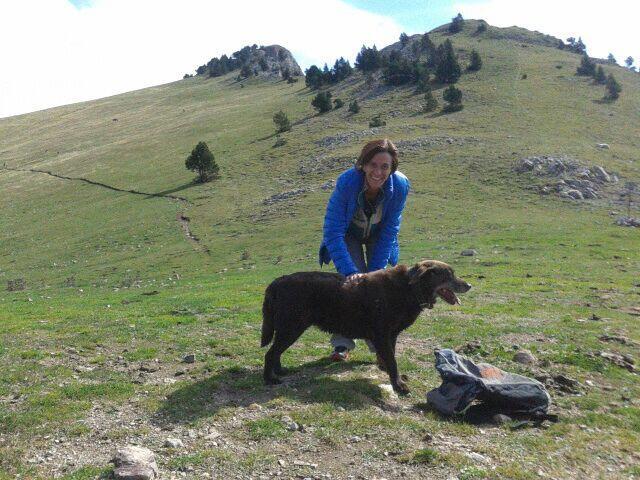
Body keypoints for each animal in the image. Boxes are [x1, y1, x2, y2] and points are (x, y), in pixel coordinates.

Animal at [260, 262, 470, 394]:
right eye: (448, 274)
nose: (469, 285)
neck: (410, 289)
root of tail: (276, 282)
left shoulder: (391, 336)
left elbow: (390, 357)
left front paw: (387, 371)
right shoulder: (382, 335)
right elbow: (393, 361)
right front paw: (398, 385)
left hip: (289, 329)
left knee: (276, 352)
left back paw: (280, 371)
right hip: (292, 328)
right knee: (270, 353)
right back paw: (270, 379)